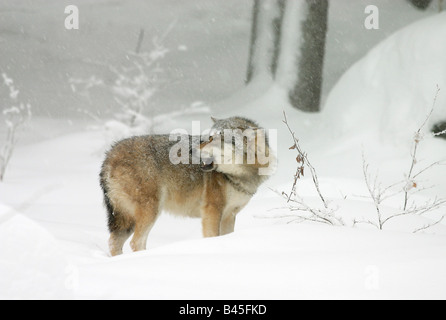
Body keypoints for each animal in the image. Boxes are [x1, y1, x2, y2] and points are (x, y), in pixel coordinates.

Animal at [100, 115, 274, 255]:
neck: (240, 175)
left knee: (113, 242)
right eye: (208, 137)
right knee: (135, 242)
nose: (191, 150)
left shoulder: (229, 215)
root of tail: (109, 155)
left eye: (216, 139)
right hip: (150, 211)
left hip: (127, 219)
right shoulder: (212, 211)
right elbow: (212, 236)